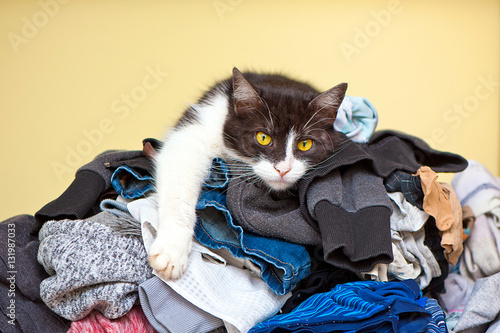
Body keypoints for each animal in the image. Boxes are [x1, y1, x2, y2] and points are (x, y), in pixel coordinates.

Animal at [149, 68, 348, 280]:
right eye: (263, 138)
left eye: (305, 144)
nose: (283, 169)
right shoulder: (203, 122)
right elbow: (180, 165)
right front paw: (171, 253)